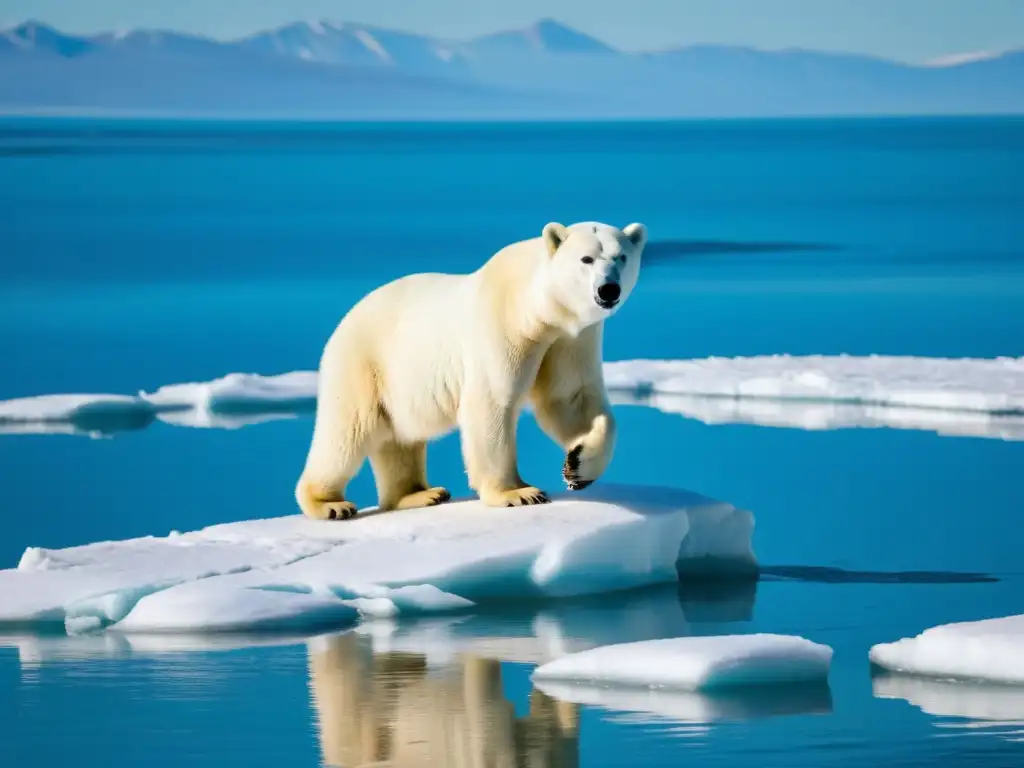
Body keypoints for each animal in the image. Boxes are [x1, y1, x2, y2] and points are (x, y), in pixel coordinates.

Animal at [296, 222, 647, 524]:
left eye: (621, 257)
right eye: (586, 258)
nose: (608, 289)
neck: (535, 307)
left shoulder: (571, 339)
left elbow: (570, 397)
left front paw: (578, 467)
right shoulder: (504, 327)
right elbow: (493, 403)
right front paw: (518, 493)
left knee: (399, 439)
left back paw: (420, 494)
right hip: (364, 364)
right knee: (349, 432)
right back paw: (329, 504)